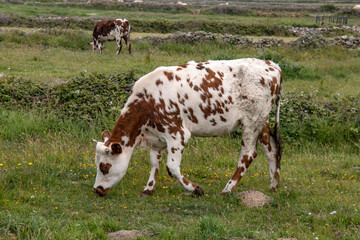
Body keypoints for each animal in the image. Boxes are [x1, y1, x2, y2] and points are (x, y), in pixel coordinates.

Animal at [91, 58, 282, 197]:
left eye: (105, 167)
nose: (97, 189)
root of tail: (272, 65)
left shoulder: (177, 134)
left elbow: (172, 168)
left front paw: (196, 189)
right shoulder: (157, 137)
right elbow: (154, 163)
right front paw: (148, 189)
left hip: (251, 121)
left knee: (248, 155)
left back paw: (228, 189)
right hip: (262, 120)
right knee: (271, 150)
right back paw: (274, 186)